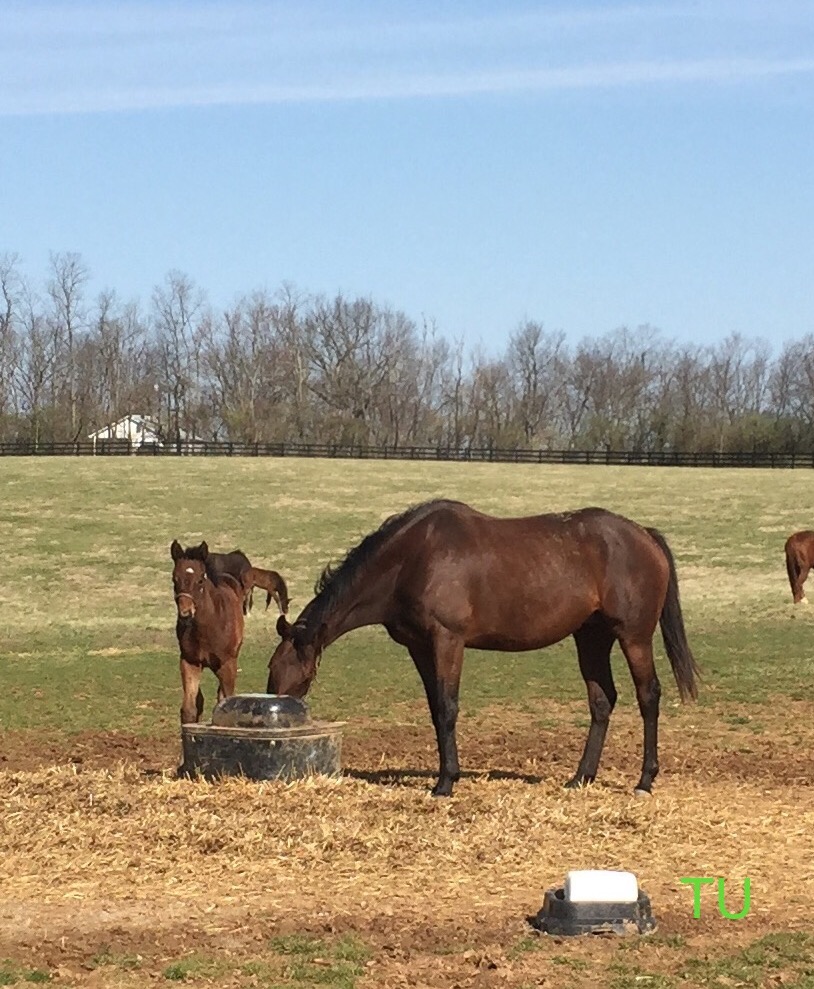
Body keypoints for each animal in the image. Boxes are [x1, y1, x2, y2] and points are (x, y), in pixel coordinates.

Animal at [171, 540, 249, 764]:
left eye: (199, 580)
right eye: (174, 579)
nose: (185, 613)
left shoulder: (227, 664)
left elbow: (227, 701)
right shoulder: (189, 662)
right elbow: (189, 710)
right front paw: (184, 761)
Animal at [268, 502, 700, 796]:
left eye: (286, 672)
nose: (277, 712)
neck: (411, 558)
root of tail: (644, 534)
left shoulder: (447, 640)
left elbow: (448, 707)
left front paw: (446, 782)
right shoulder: (420, 648)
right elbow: (435, 710)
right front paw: (445, 774)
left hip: (633, 637)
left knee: (648, 696)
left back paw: (645, 779)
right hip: (591, 637)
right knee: (602, 701)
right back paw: (581, 777)